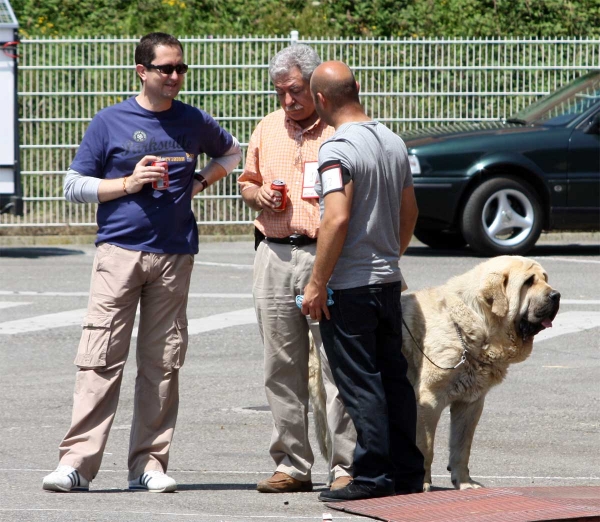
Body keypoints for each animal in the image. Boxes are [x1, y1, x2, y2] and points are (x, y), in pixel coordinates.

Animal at [312, 256, 560, 492]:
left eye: (544, 278)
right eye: (528, 282)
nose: (556, 295)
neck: (474, 324)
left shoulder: (470, 403)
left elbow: (462, 446)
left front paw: (464, 482)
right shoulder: (428, 401)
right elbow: (426, 447)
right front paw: (421, 483)